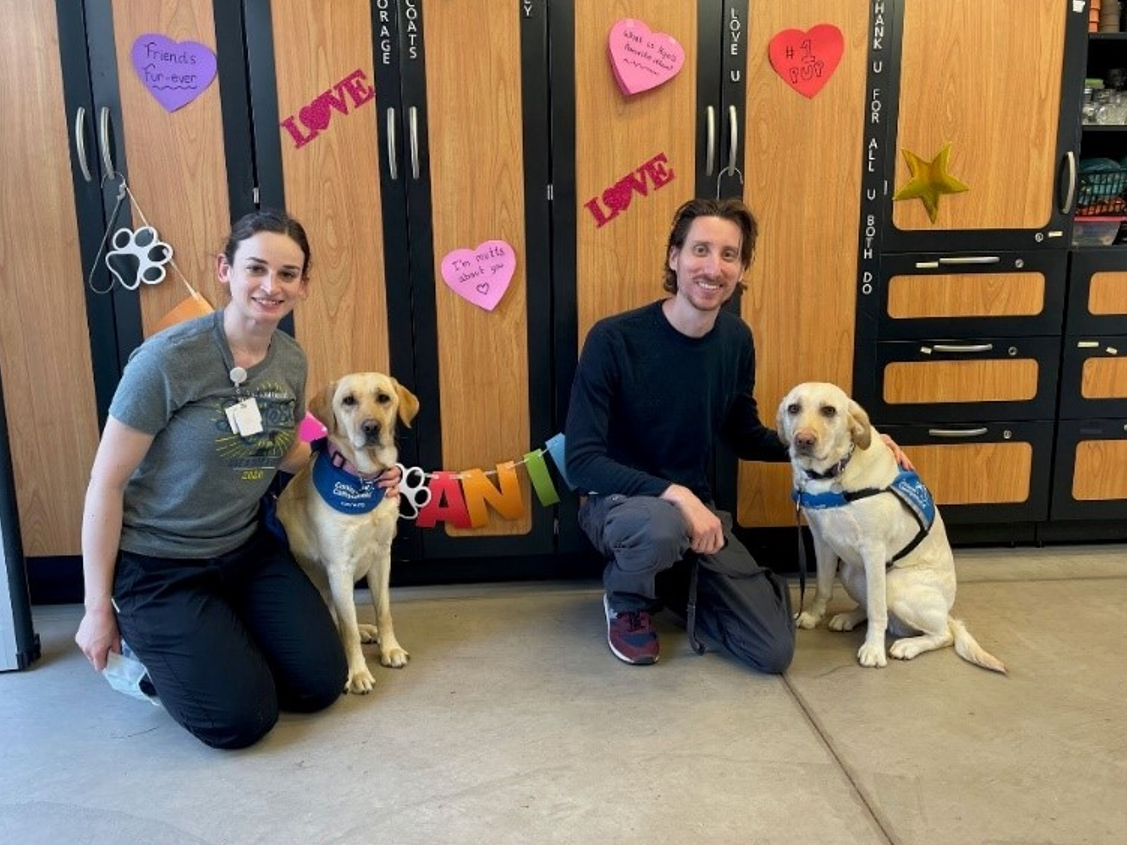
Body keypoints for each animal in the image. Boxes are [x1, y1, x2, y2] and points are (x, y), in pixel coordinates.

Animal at [279, 374, 421, 689]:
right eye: (348, 401)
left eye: (383, 398)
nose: (371, 427)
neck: (362, 480)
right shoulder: (339, 567)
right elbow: (347, 628)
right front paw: (357, 673)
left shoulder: (382, 557)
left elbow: (384, 611)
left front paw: (390, 648)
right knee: (338, 621)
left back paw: (368, 630)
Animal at [775, 383, 1005, 676]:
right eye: (793, 408)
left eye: (829, 410)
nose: (803, 440)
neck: (834, 473)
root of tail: (947, 612)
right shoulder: (822, 541)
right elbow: (823, 587)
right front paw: (813, 616)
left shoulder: (873, 549)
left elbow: (877, 609)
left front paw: (873, 650)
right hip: (850, 570)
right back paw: (849, 617)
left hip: (895, 584)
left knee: (942, 634)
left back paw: (908, 646)